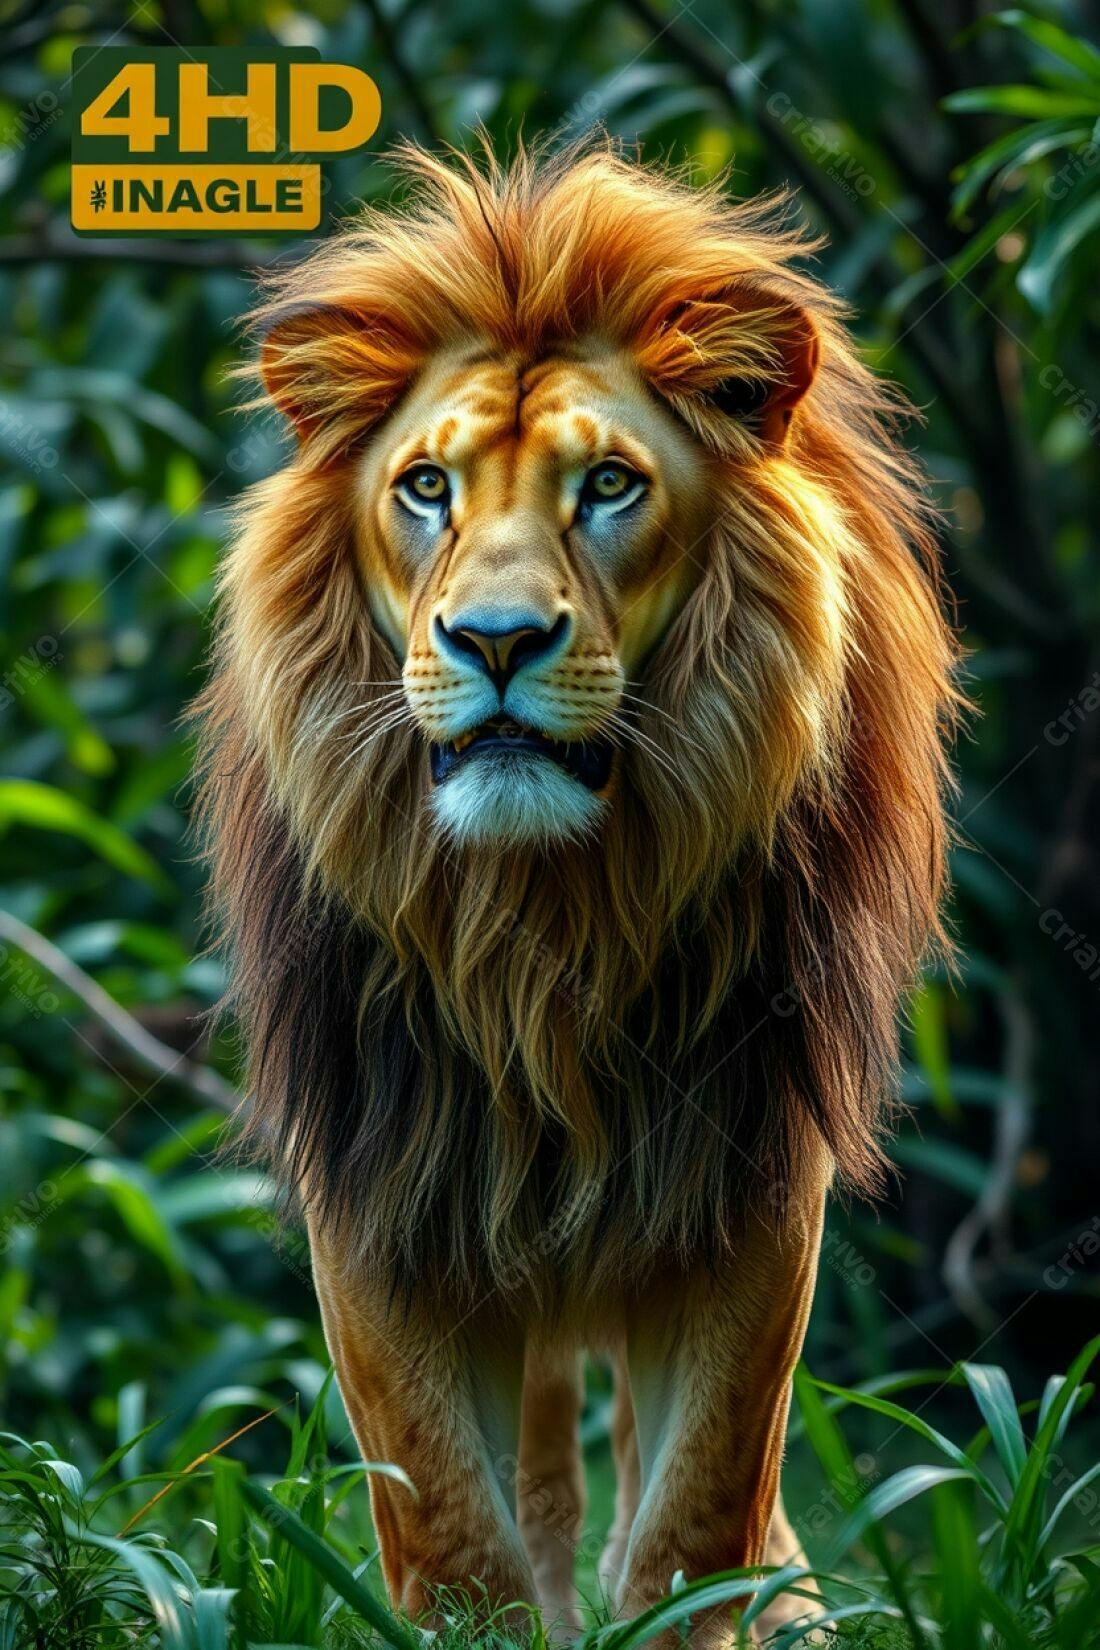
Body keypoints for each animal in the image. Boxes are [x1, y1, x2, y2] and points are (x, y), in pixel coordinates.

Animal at [195, 141, 956, 1645]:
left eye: (607, 484)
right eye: (425, 488)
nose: (494, 639)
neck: (544, 924)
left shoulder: (748, 1181)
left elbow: (695, 1513)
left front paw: (708, 1608)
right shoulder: (384, 1190)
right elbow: (455, 1534)